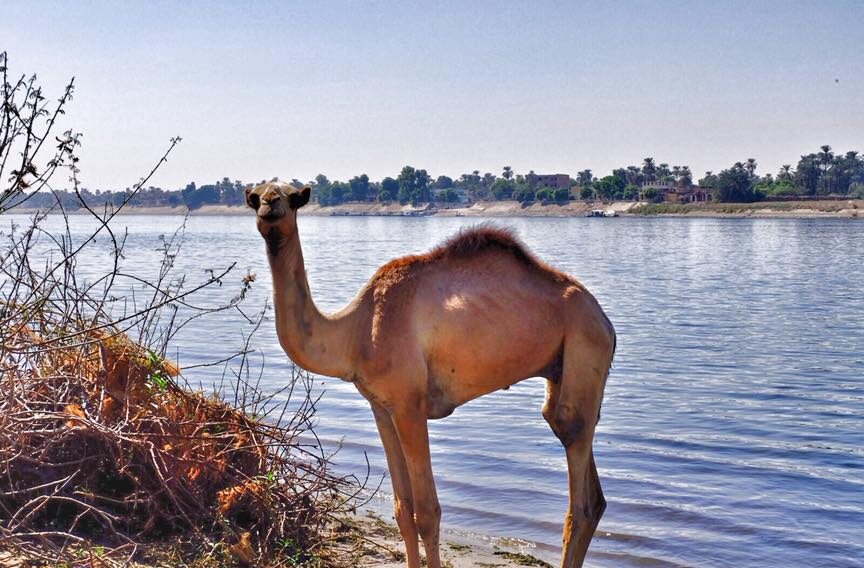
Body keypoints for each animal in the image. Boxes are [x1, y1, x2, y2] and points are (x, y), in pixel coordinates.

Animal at [246, 182, 616, 568]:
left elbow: (426, 512)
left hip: (585, 343)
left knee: (578, 483)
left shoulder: (410, 405)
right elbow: (402, 509)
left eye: (291, 197)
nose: (269, 205)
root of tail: (605, 320)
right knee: (588, 481)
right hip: (564, 371)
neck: (354, 332)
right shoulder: (382, 407)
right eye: (255, 197)